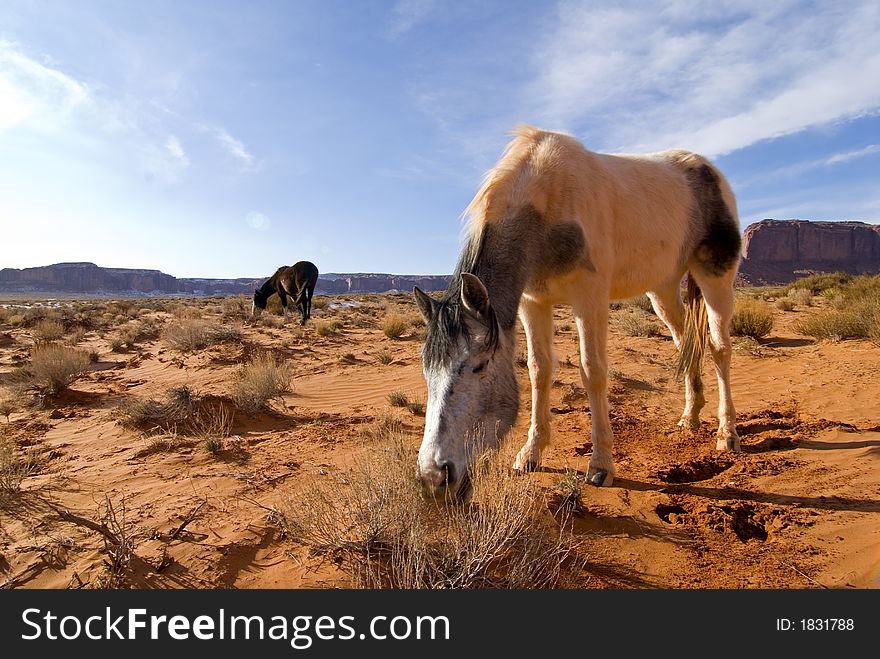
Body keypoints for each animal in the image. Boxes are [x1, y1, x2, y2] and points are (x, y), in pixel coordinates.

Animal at [414, 126, 744, 500]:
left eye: (479, 366)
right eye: (426, 370)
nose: (433, 476)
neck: (545, 207)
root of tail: (709, 170)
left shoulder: (590, 297)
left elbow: (593, 371)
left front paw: (600, 465)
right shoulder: (533, 302)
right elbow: (538, 370)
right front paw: (531, 453)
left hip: (716, 276)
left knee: (720, 349)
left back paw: (727, 432)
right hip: (662, 289)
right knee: (687, 344)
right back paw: (690, 417)